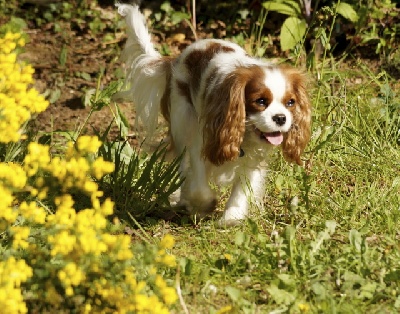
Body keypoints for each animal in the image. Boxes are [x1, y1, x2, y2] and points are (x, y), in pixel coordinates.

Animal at [114, 2, 310, 226]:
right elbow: (199, 183)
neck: (244, 133)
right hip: (182, 123)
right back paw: (182, 197)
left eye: (290, 103)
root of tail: (175, 59)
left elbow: (242, 188)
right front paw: (204, 205)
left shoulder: (253, 157)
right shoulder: (202, 142)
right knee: (182, 166)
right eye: (260, 101)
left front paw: (232, 217)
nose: (280, 118)